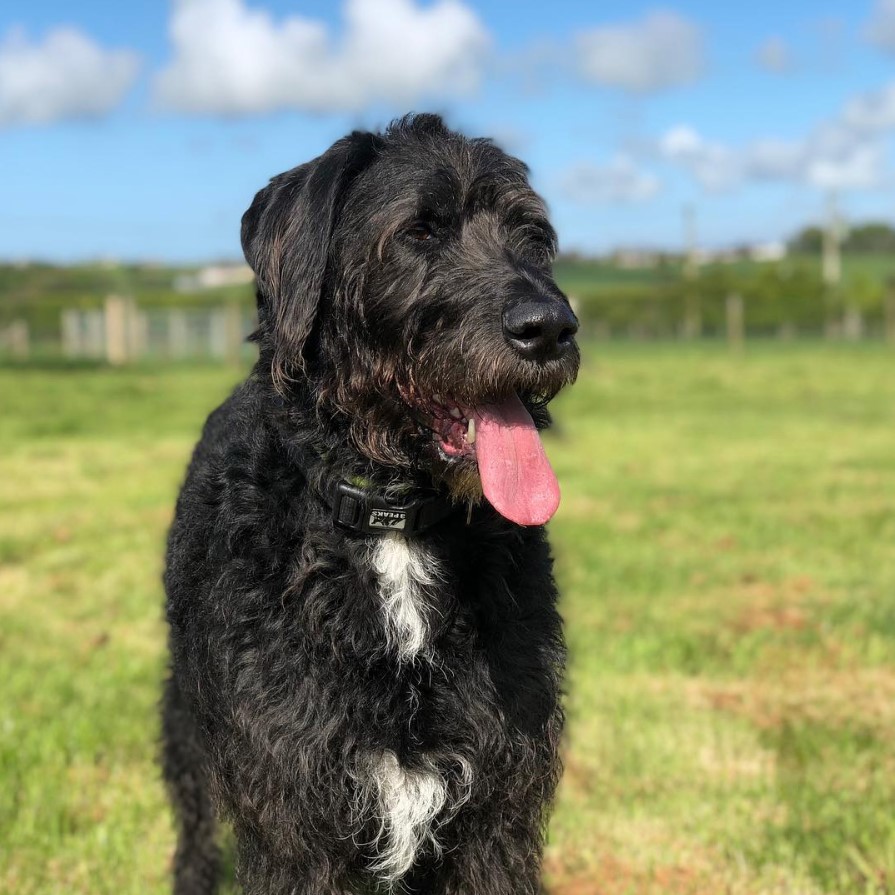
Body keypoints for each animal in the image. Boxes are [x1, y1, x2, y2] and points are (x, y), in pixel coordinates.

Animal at [161, 114, 580, 895]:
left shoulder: (496, 810)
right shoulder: (294, 817)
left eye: (532, 234)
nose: (551, 327)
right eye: (419, 231)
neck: (394, 526)